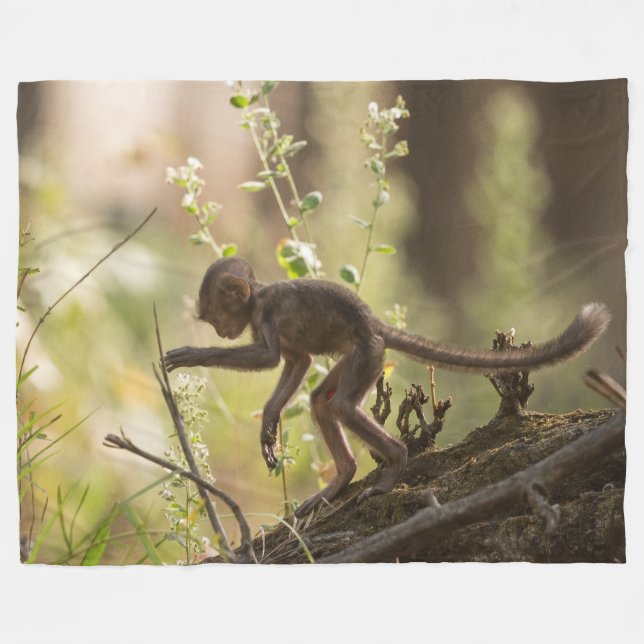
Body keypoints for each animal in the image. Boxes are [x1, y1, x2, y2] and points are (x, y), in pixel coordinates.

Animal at [164, 256, 610, 517]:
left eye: (215, 318)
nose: (220, 332)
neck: (257, 300)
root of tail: (374, 324)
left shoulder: (268, 316)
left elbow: (271, 359)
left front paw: (193, 355)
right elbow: (298, 362)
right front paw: (270, 421)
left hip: (368, 353)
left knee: (343, 406)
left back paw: (394, 465)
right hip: (361, 355)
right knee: (323, 402)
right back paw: (342, 478)